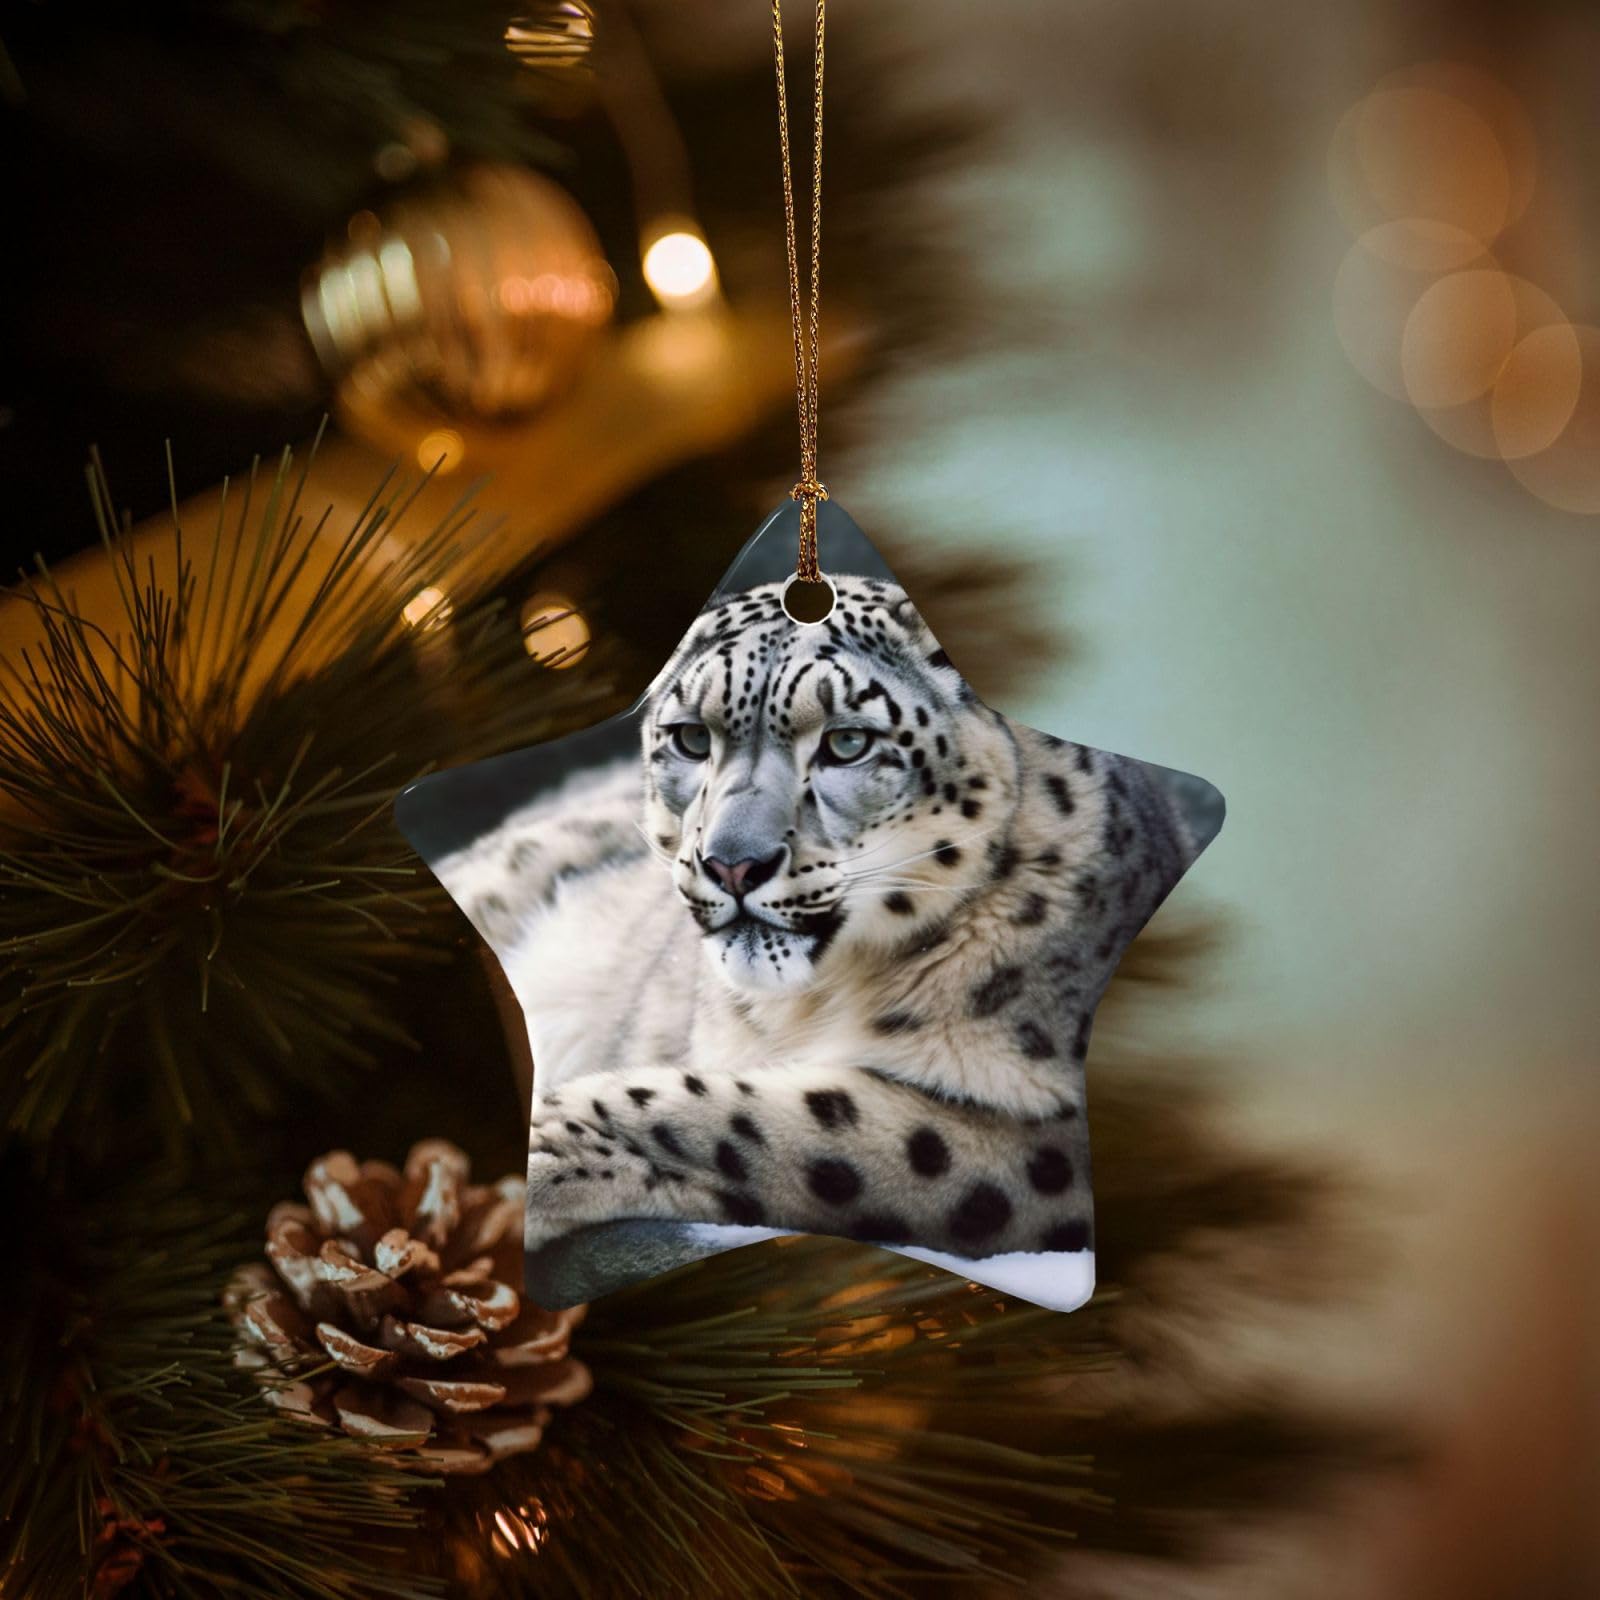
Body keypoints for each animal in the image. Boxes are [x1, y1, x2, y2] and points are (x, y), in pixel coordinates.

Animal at [436, 575, 1215, 1309]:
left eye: (847, 741)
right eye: (692, 737)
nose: (732, 863)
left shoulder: (1042, 1138)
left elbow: (799, 1125)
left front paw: (546, 1143)